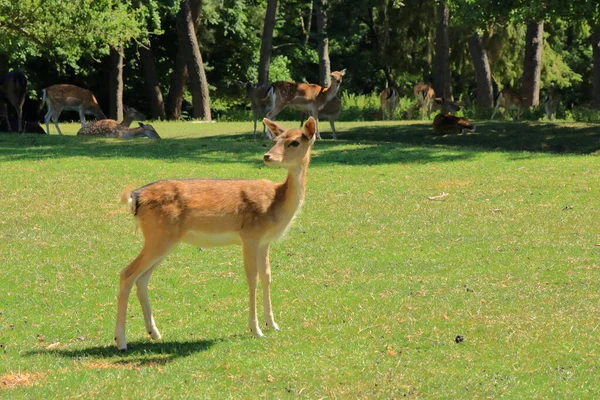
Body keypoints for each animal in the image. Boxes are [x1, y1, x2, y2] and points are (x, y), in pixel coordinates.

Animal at [113, 115, 318, 350]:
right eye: (276, 139)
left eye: (294, 141)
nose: (267, 156)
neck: (276, 203)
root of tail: (134, 197)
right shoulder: (250, 235)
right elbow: (252, 277)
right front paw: (255, 329)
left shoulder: (265, 241)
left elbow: (267, 275)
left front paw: (273, 324)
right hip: (158, 237)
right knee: (127, 273)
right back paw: (121, 341)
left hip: (164, 240)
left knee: (142, 278)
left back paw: (154, 332)